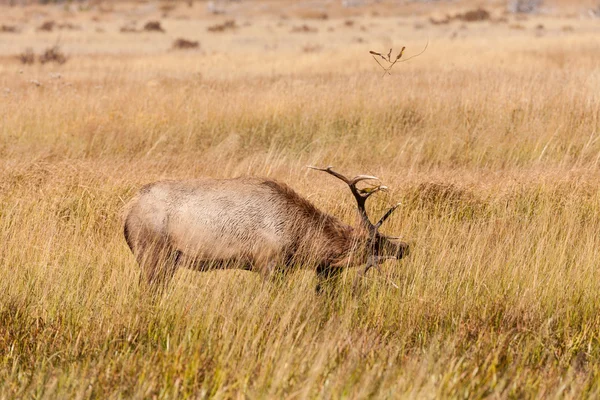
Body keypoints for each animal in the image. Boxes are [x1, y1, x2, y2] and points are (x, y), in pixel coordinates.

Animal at [123, 166, 410, 290]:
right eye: (375, 242)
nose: (404, 247)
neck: (300, 238)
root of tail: (126, 214)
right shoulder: (268, 264)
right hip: (153, 256)